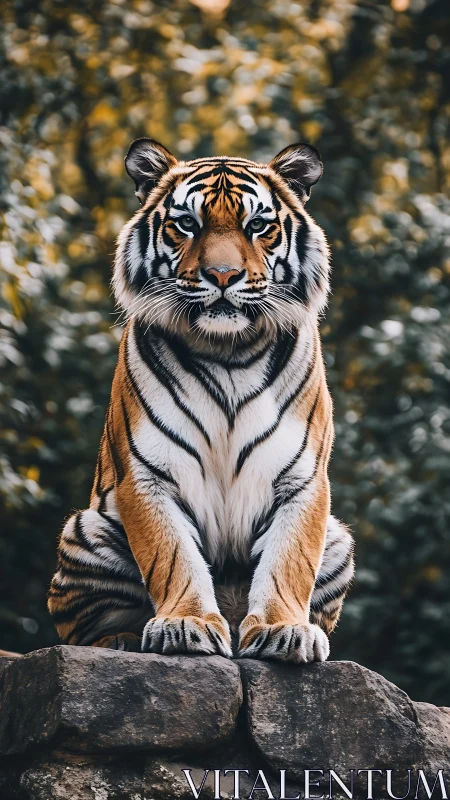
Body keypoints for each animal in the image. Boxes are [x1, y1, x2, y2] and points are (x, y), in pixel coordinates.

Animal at [47, 137, 355, 663]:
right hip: (86, 531)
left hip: (338, 541)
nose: (223, 275)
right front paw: (186, 624)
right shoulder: (148, 474)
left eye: (258, 226)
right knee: (83, 629)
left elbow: (289, 561)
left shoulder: (302, 478)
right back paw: (123, 641)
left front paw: (284, 629)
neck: (228, 351)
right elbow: (172, 556)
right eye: (187, 223)